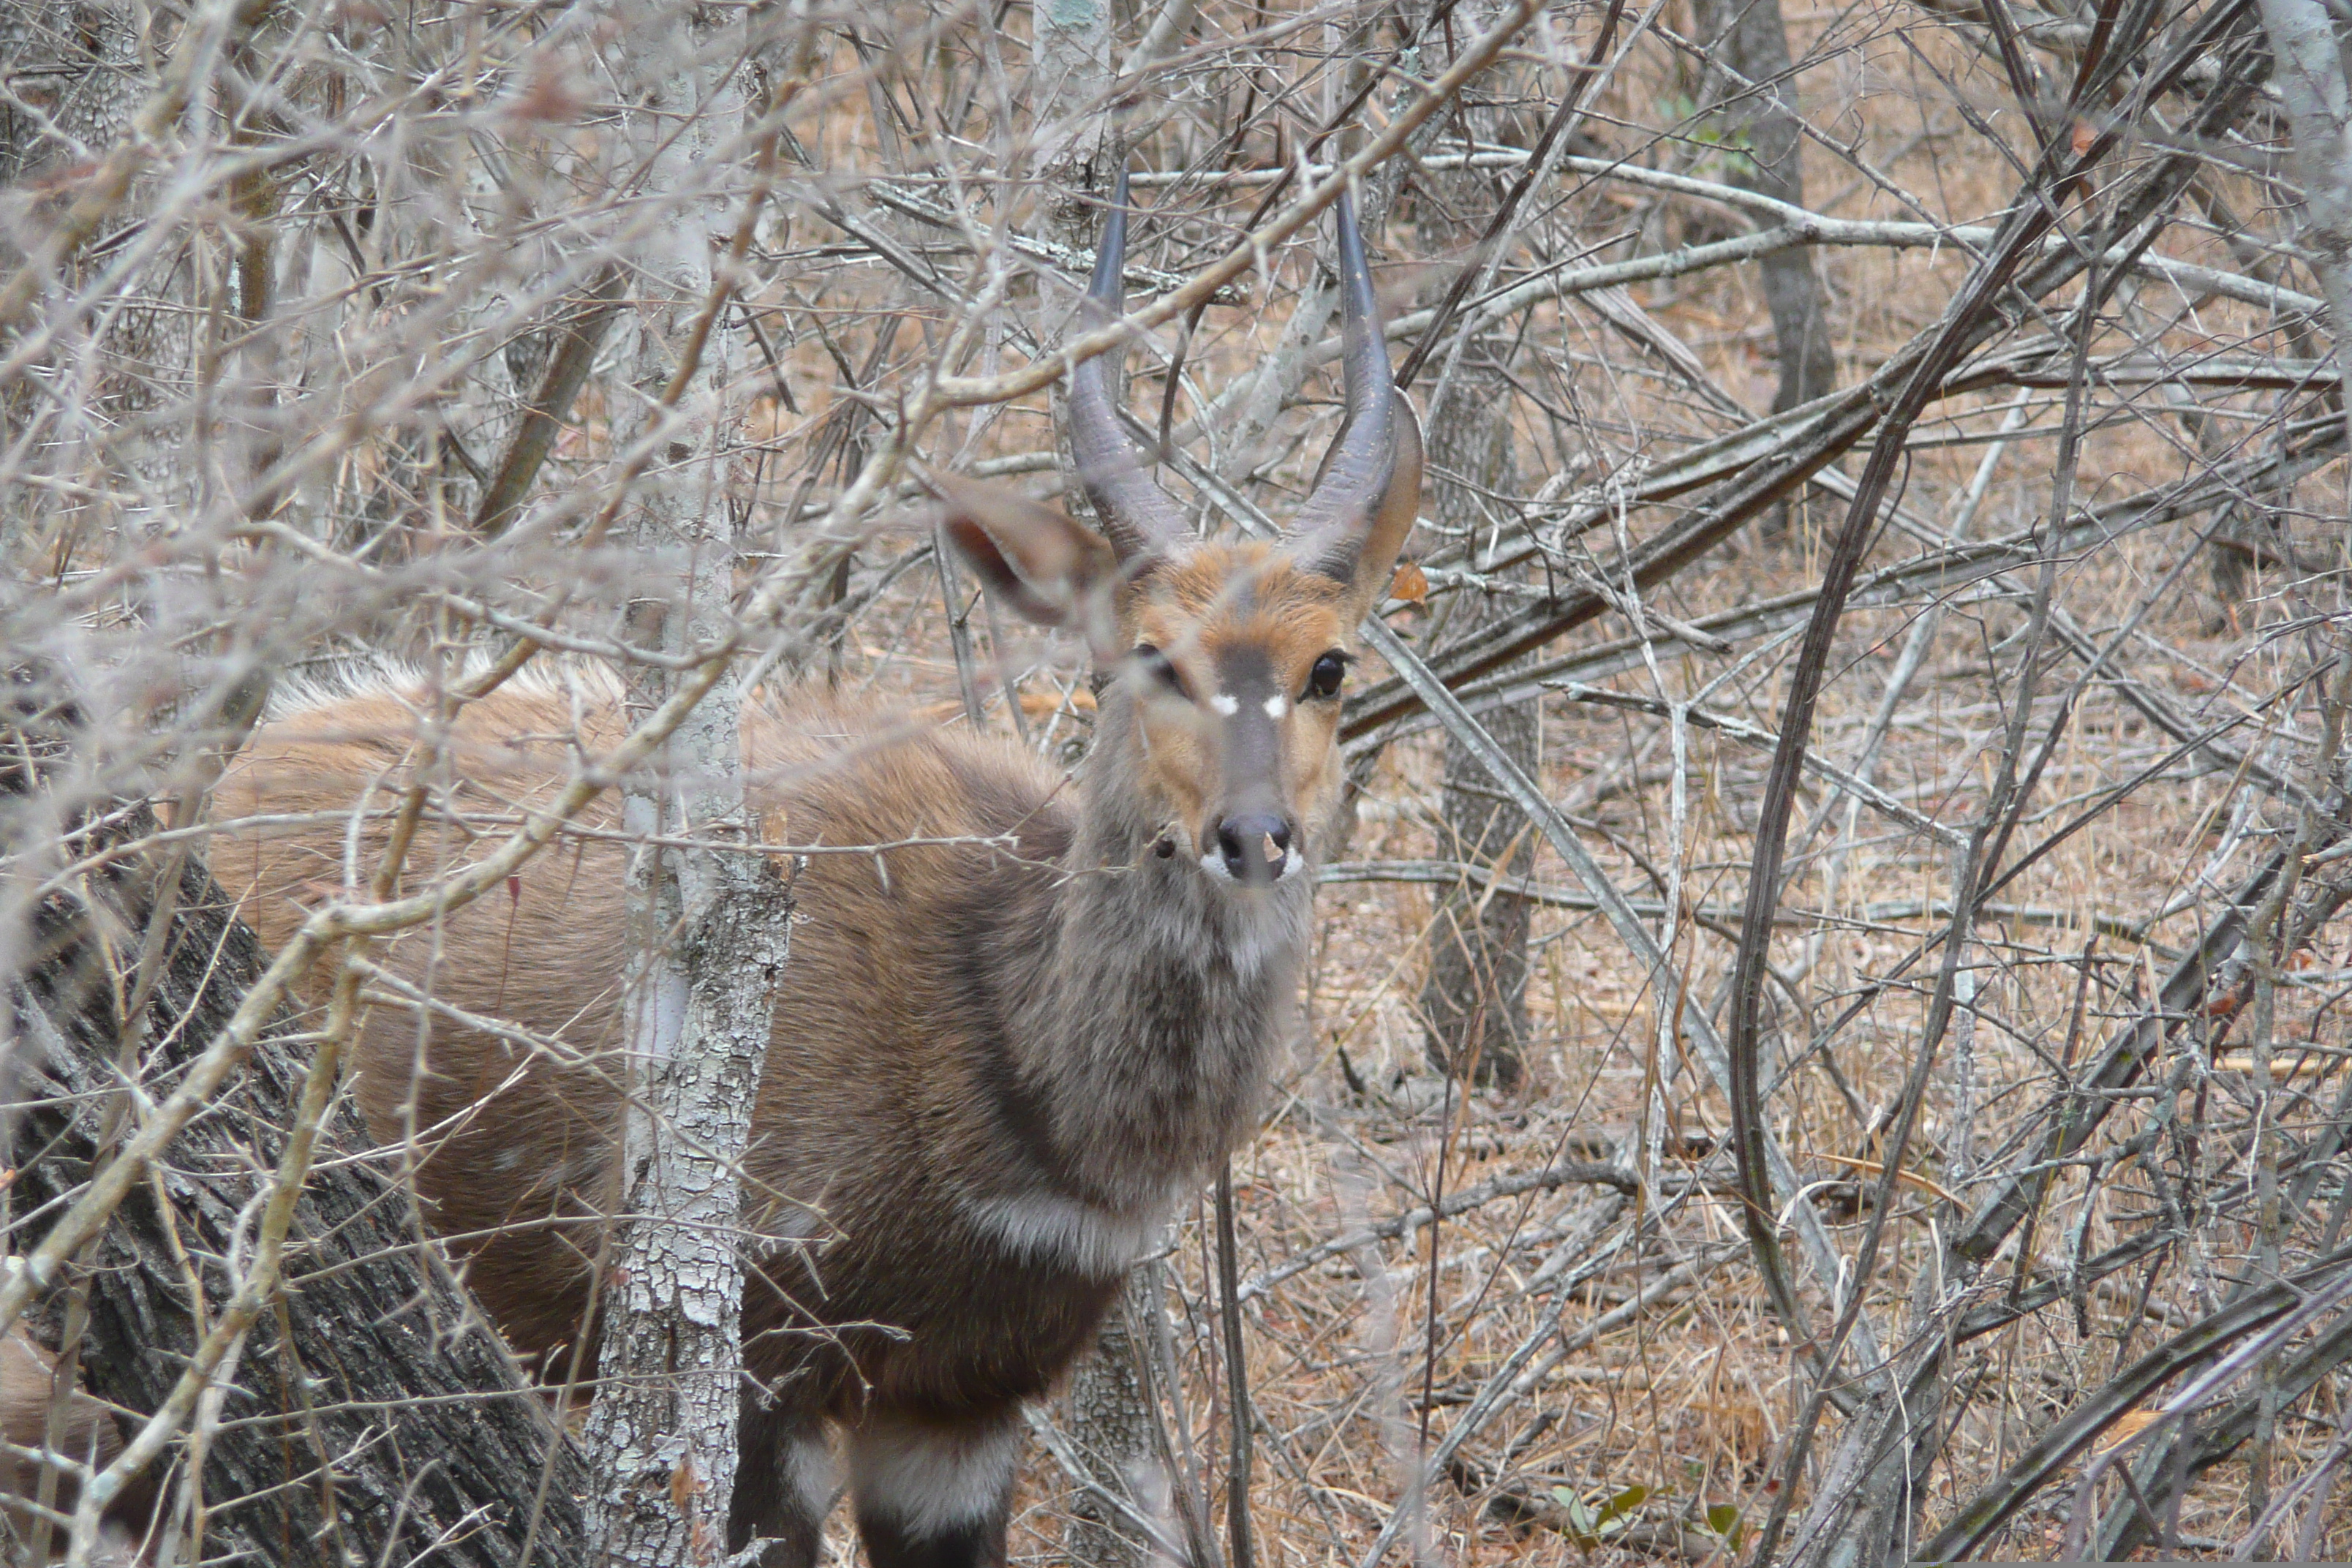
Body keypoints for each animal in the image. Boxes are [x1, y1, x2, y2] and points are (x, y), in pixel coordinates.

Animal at [202, 175, 1420, 1568]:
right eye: (1151, 653)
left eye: (1329, 664)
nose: (1254, 836)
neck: (1015, 1093)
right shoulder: (747, 1349)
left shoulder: (960, 1401)